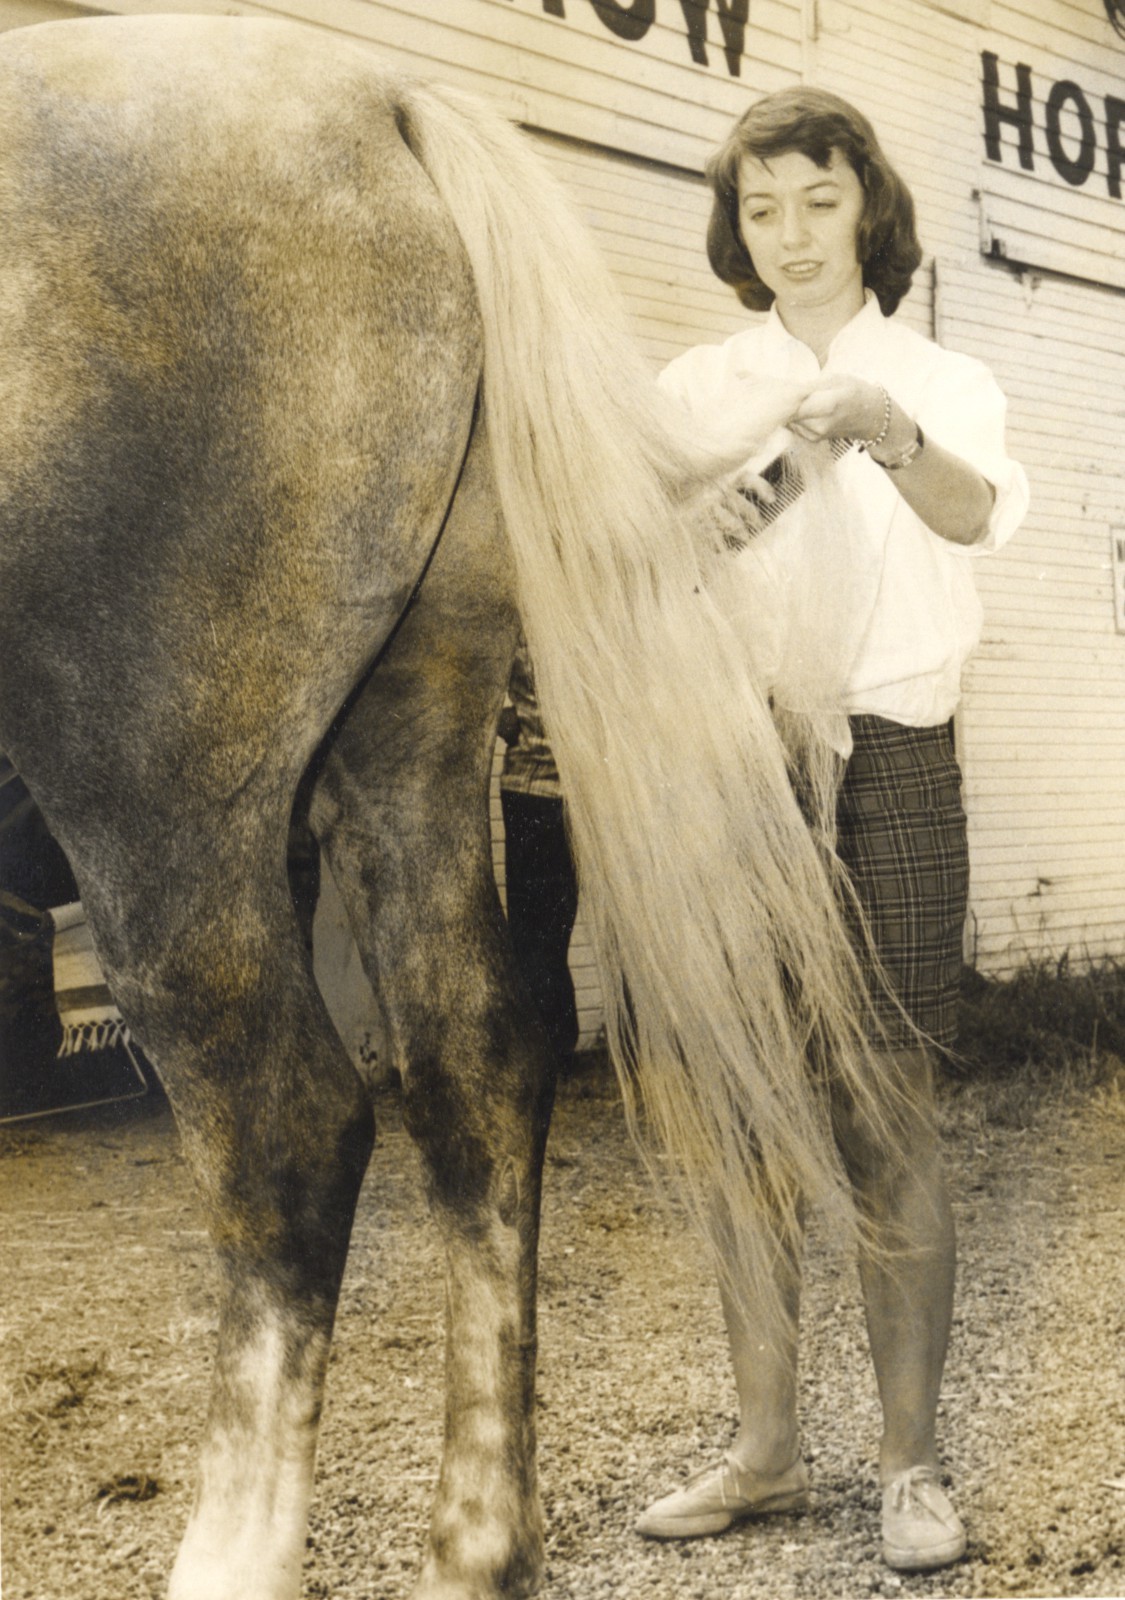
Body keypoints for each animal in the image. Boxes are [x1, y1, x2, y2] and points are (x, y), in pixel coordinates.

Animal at [0, 16, 898, 1598]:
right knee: (476, 1056)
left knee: (288, 1122)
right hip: (409, 710)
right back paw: (478, 1542)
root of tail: (377, 102)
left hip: (155, 772)